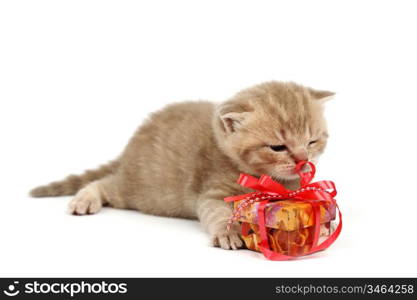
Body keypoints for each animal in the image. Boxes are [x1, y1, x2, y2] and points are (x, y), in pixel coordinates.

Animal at [30, 81, 334, 250]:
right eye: (277, 147)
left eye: (312, 141)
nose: (302, 161)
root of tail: (129, 147)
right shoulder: (211, 191)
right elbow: (217, 213)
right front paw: (228, 233)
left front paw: (322, 225)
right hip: (140, 190)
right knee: (102, 184)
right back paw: (84, 200)